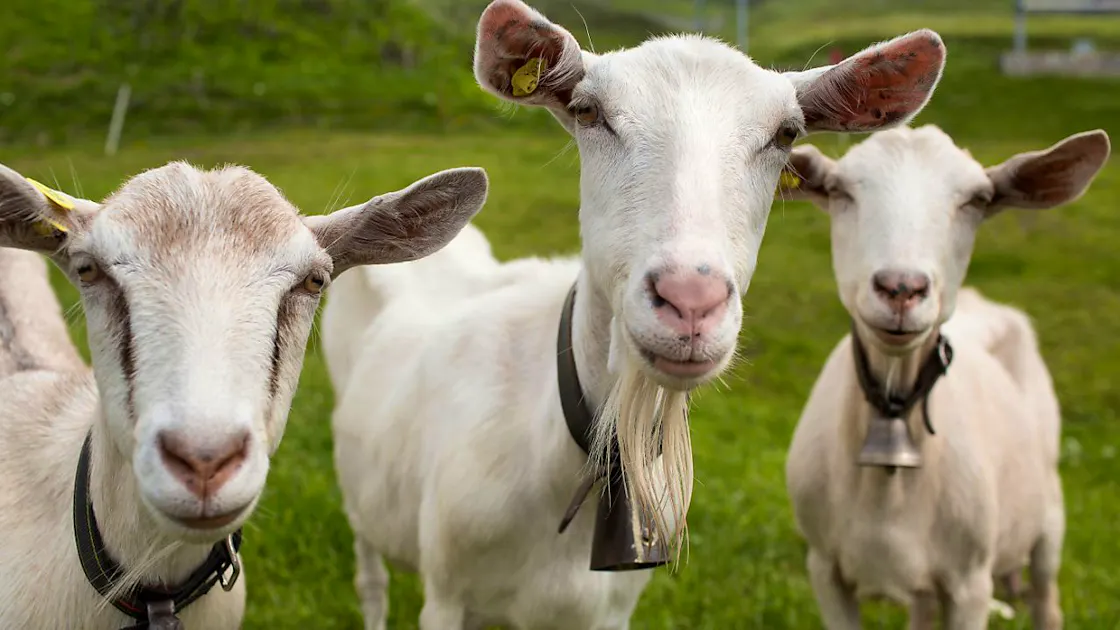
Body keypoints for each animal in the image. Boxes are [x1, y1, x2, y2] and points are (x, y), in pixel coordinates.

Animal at [322, 1, 949, 627]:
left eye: (786, 133)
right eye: (589, 111)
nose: (689, 301)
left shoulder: (609, 611)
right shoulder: (448, 594)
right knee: (370, 572)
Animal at [781, 125, 1110, 629]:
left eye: (977, 199)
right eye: (839, 190)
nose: (901, 287)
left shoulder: (970, 582)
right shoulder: (824, 568)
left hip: (1049, 514)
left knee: (1046, 597)